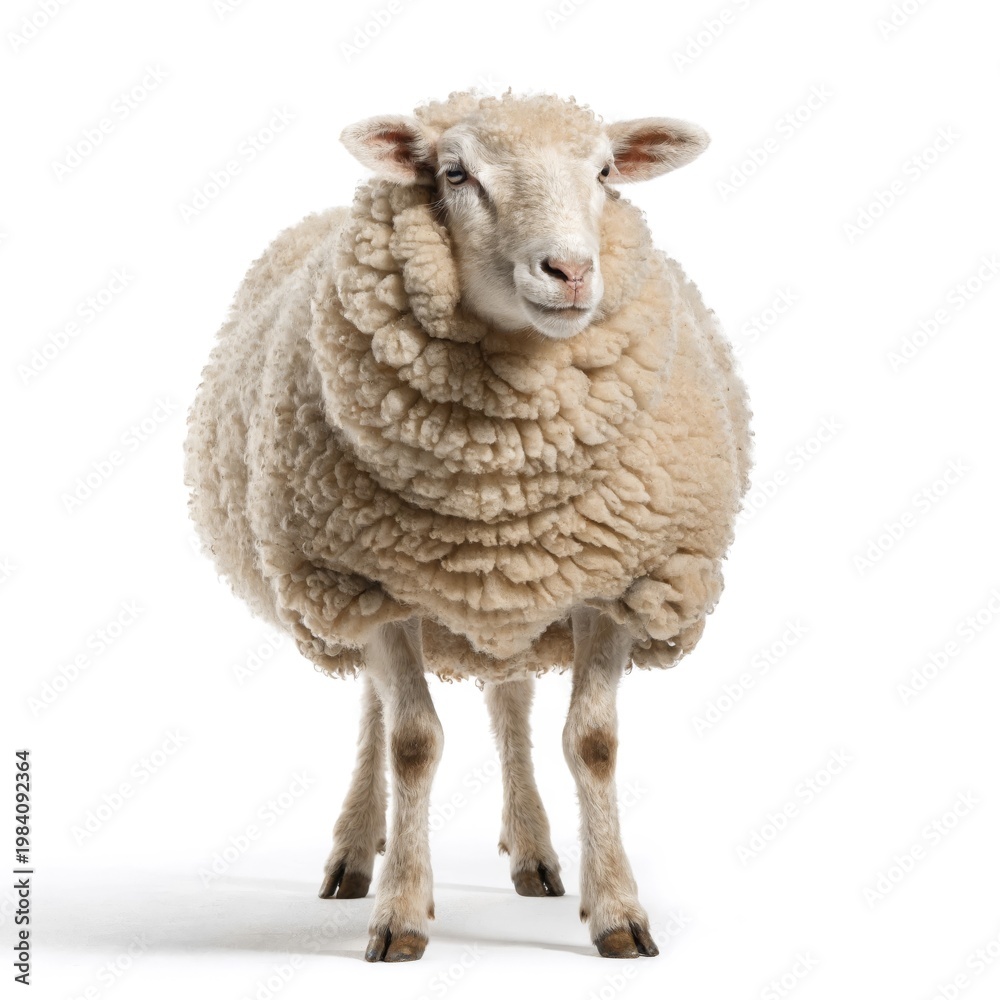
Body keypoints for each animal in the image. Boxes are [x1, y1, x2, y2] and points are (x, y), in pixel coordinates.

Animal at [184, 90, 752, 962]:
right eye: (455, 174)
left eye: (606, 171)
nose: (571, 272)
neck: (504, 478)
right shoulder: (373, 584)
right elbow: (412, 742)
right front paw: (401, 915)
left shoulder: (622, 581)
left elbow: (593, 742)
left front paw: (617, 911)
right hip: (349, 590)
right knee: (377, 711)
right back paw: (357, 851)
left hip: (512, 591)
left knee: (508, 698)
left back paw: (535, 854)